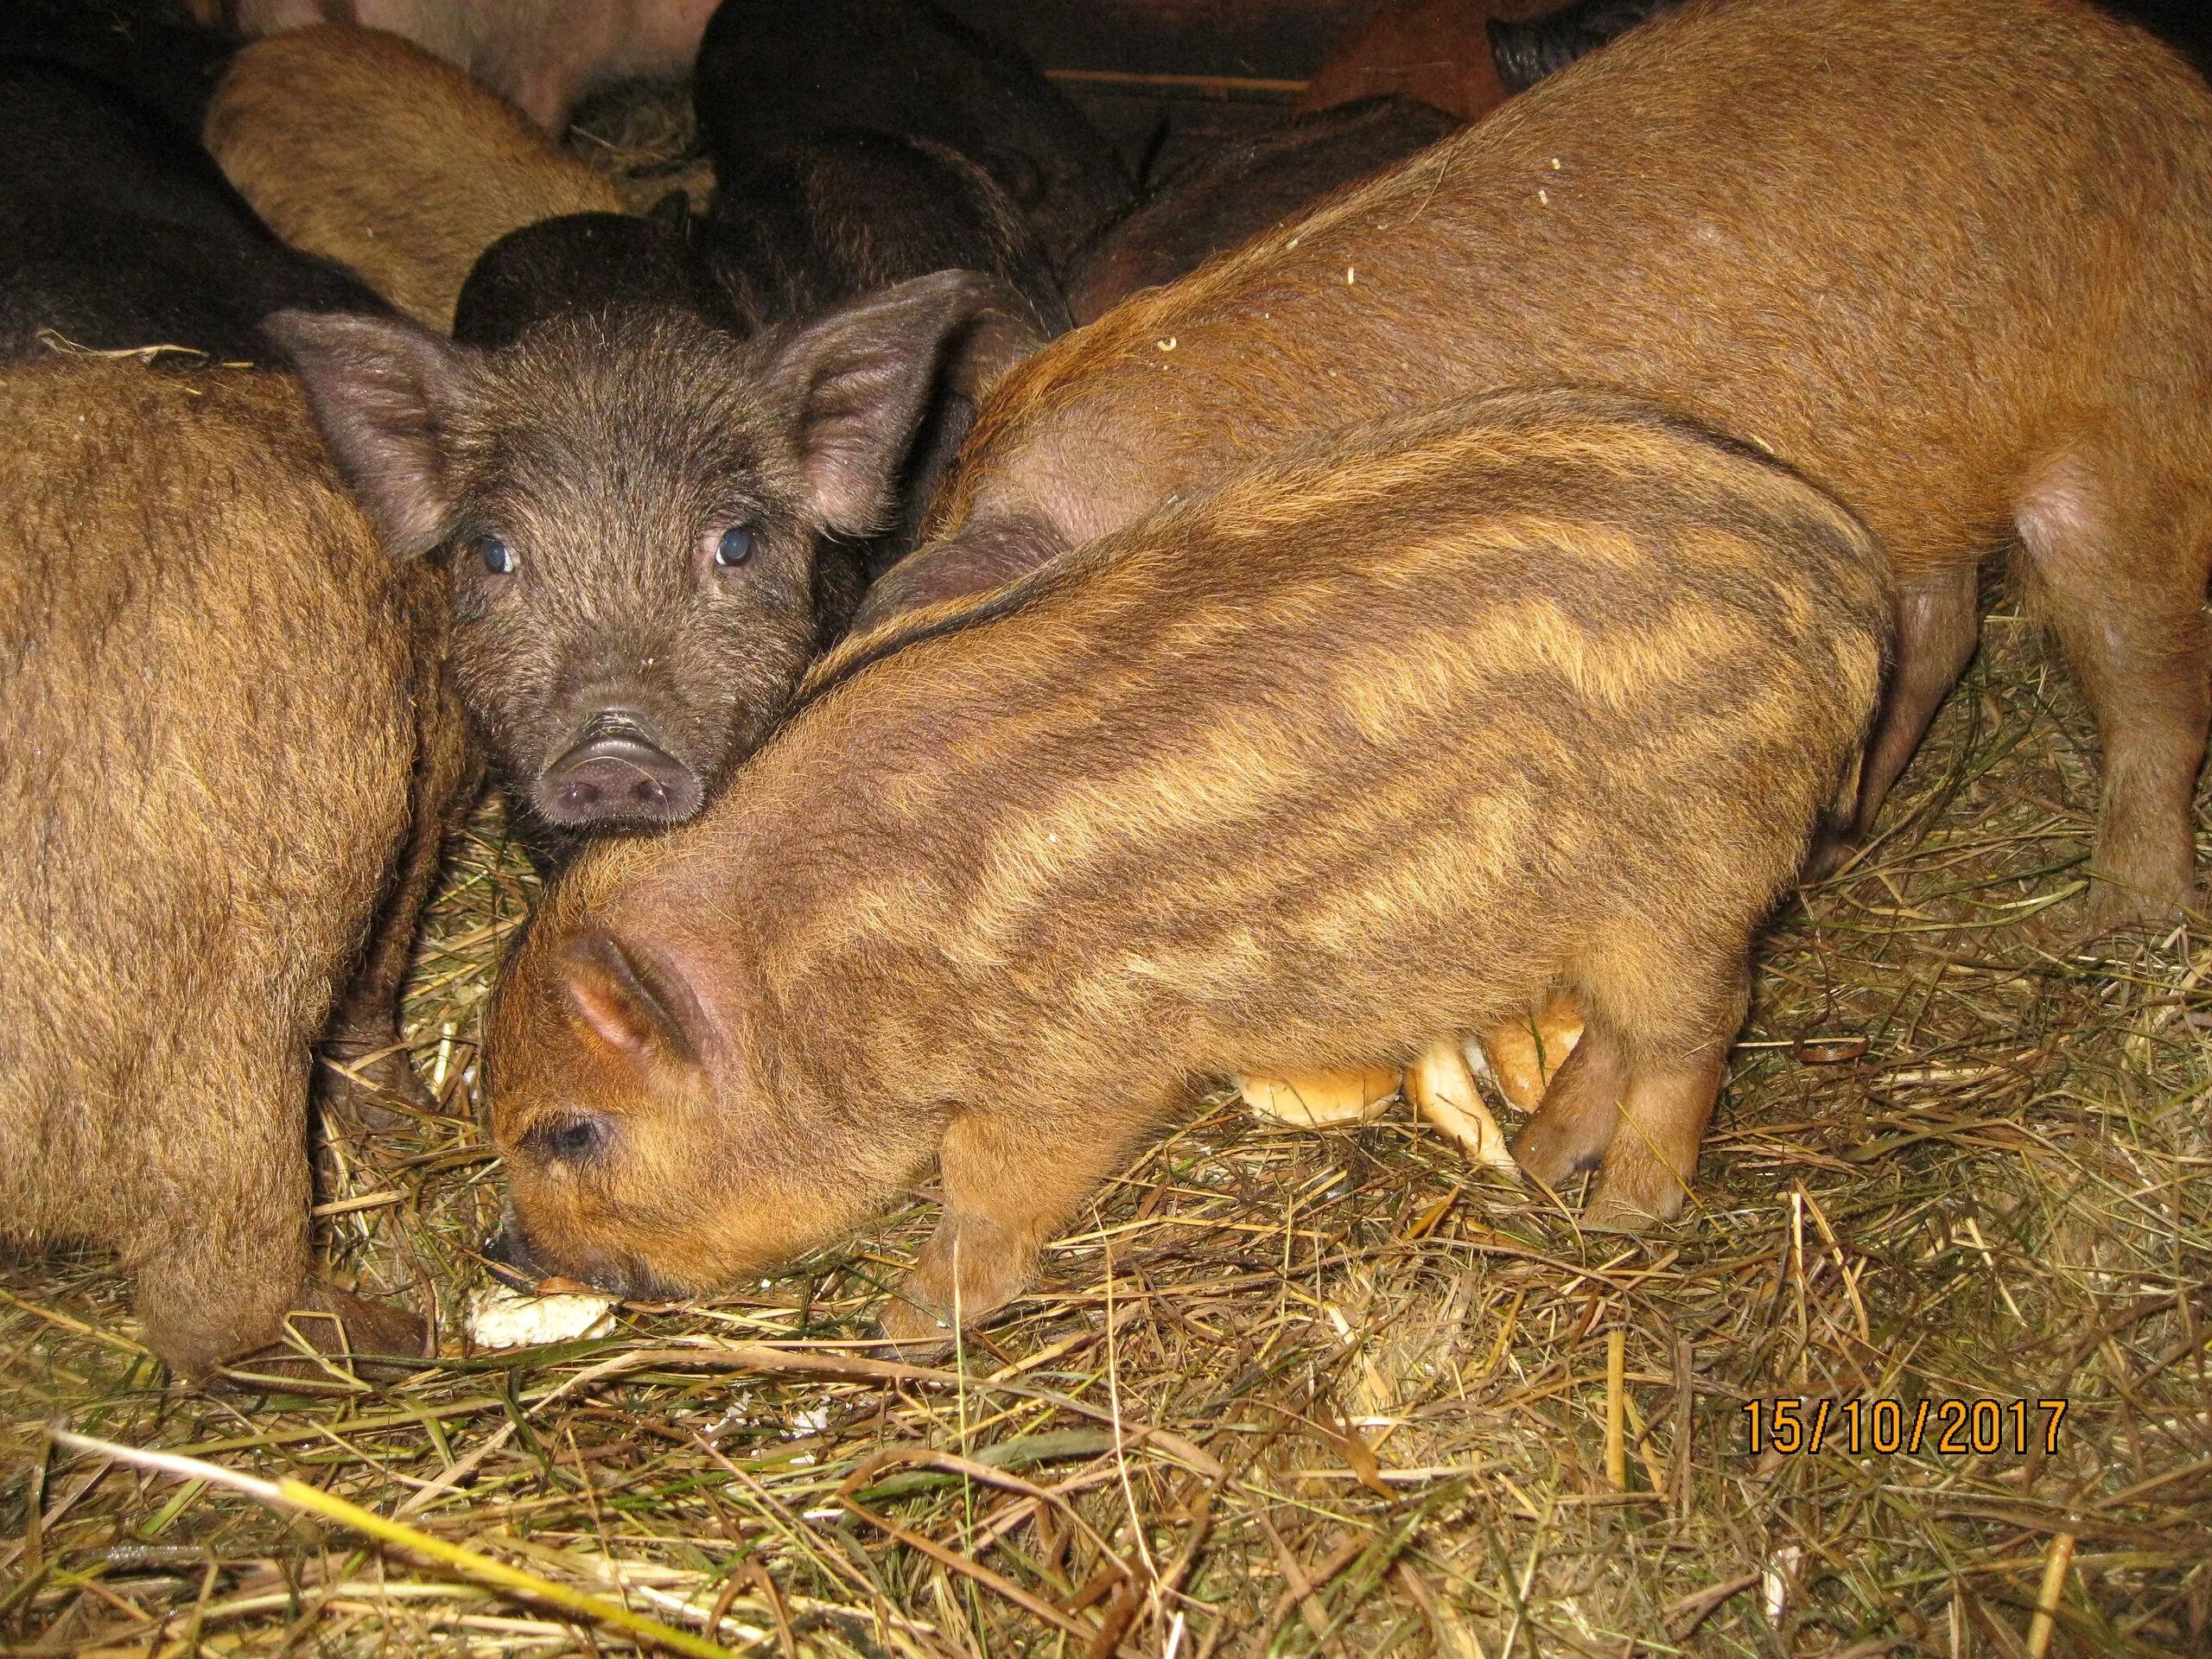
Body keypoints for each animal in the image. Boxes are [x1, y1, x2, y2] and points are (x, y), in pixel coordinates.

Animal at [480, 393, 1885, 1353]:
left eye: (570, 1131)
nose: (501, 1251)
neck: (824, 948)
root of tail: (1847, 583)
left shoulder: (1080, 1059)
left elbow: (989, 1185)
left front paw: (909, 1325)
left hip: (1689, 875)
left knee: (1700, 1026)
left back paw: (1623, 1214)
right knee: (1611, 1038)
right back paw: (1543, 1165)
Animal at [867, 0, 2212, 938]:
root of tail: (2181, 96)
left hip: (2128, 431)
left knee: (2145, 676)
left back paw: (2119, 923)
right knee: (1940, 631)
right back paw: (1840, 844)